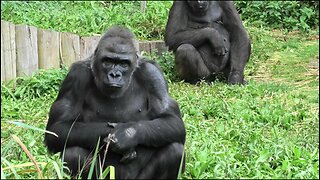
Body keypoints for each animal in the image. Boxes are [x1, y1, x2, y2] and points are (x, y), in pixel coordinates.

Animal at [43, 26, 186, 179]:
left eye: (124, 64)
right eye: (107, 61)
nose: (114, 75)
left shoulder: (153, 74)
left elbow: (172, 120)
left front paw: (127, 135)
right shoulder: (76, 75)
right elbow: (58, 129)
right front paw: (112, 134)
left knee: (174, 150)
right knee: (73, 153)